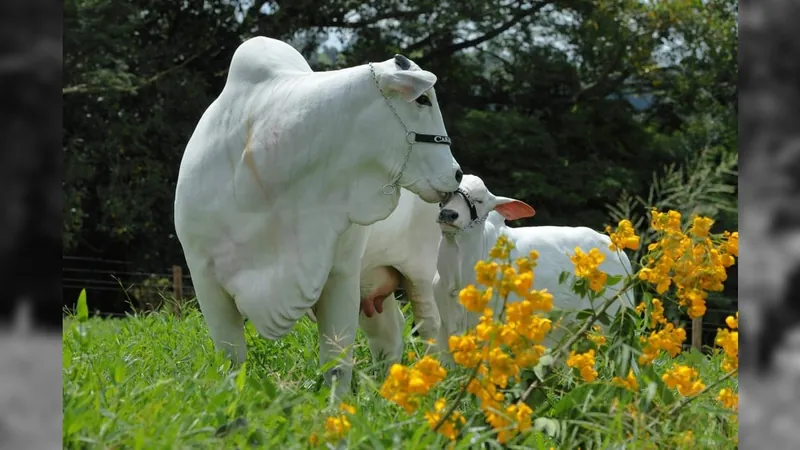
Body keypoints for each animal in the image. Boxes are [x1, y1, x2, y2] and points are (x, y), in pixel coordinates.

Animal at [174, 37, 462, 396]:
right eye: (423, 99)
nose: (456, 174)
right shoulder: (205, 279)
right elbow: (232, 360)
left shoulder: (340, 273)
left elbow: (336, 364)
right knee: (389, 335)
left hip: (420, 272)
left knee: (432, 330)